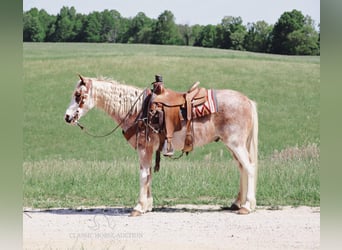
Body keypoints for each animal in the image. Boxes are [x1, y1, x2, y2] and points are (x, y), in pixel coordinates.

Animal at [64, 74, 258, 217]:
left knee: (249, 168)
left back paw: (247, 206)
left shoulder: (144, 148)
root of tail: (248, 101)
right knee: (242, 169)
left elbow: (143, 175)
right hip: (233, 146)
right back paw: (237, 203)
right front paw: (148, 205)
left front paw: (139, 207)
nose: (67, 117)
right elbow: (149, 174)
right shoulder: (149, 150)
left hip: (236, 144)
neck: (139, 110)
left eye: (78, 95)